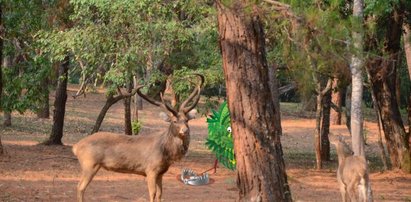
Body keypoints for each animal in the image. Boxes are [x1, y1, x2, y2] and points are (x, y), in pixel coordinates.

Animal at [73, 74, 205, 202]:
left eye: (186, 120)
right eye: (174, 121)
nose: (185, 131)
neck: (165, 153)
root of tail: (76, 146)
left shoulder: (161, 173)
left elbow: (160, 195)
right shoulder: (150, 169)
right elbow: (152, 194)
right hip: (89, 164)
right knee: (80, 187)